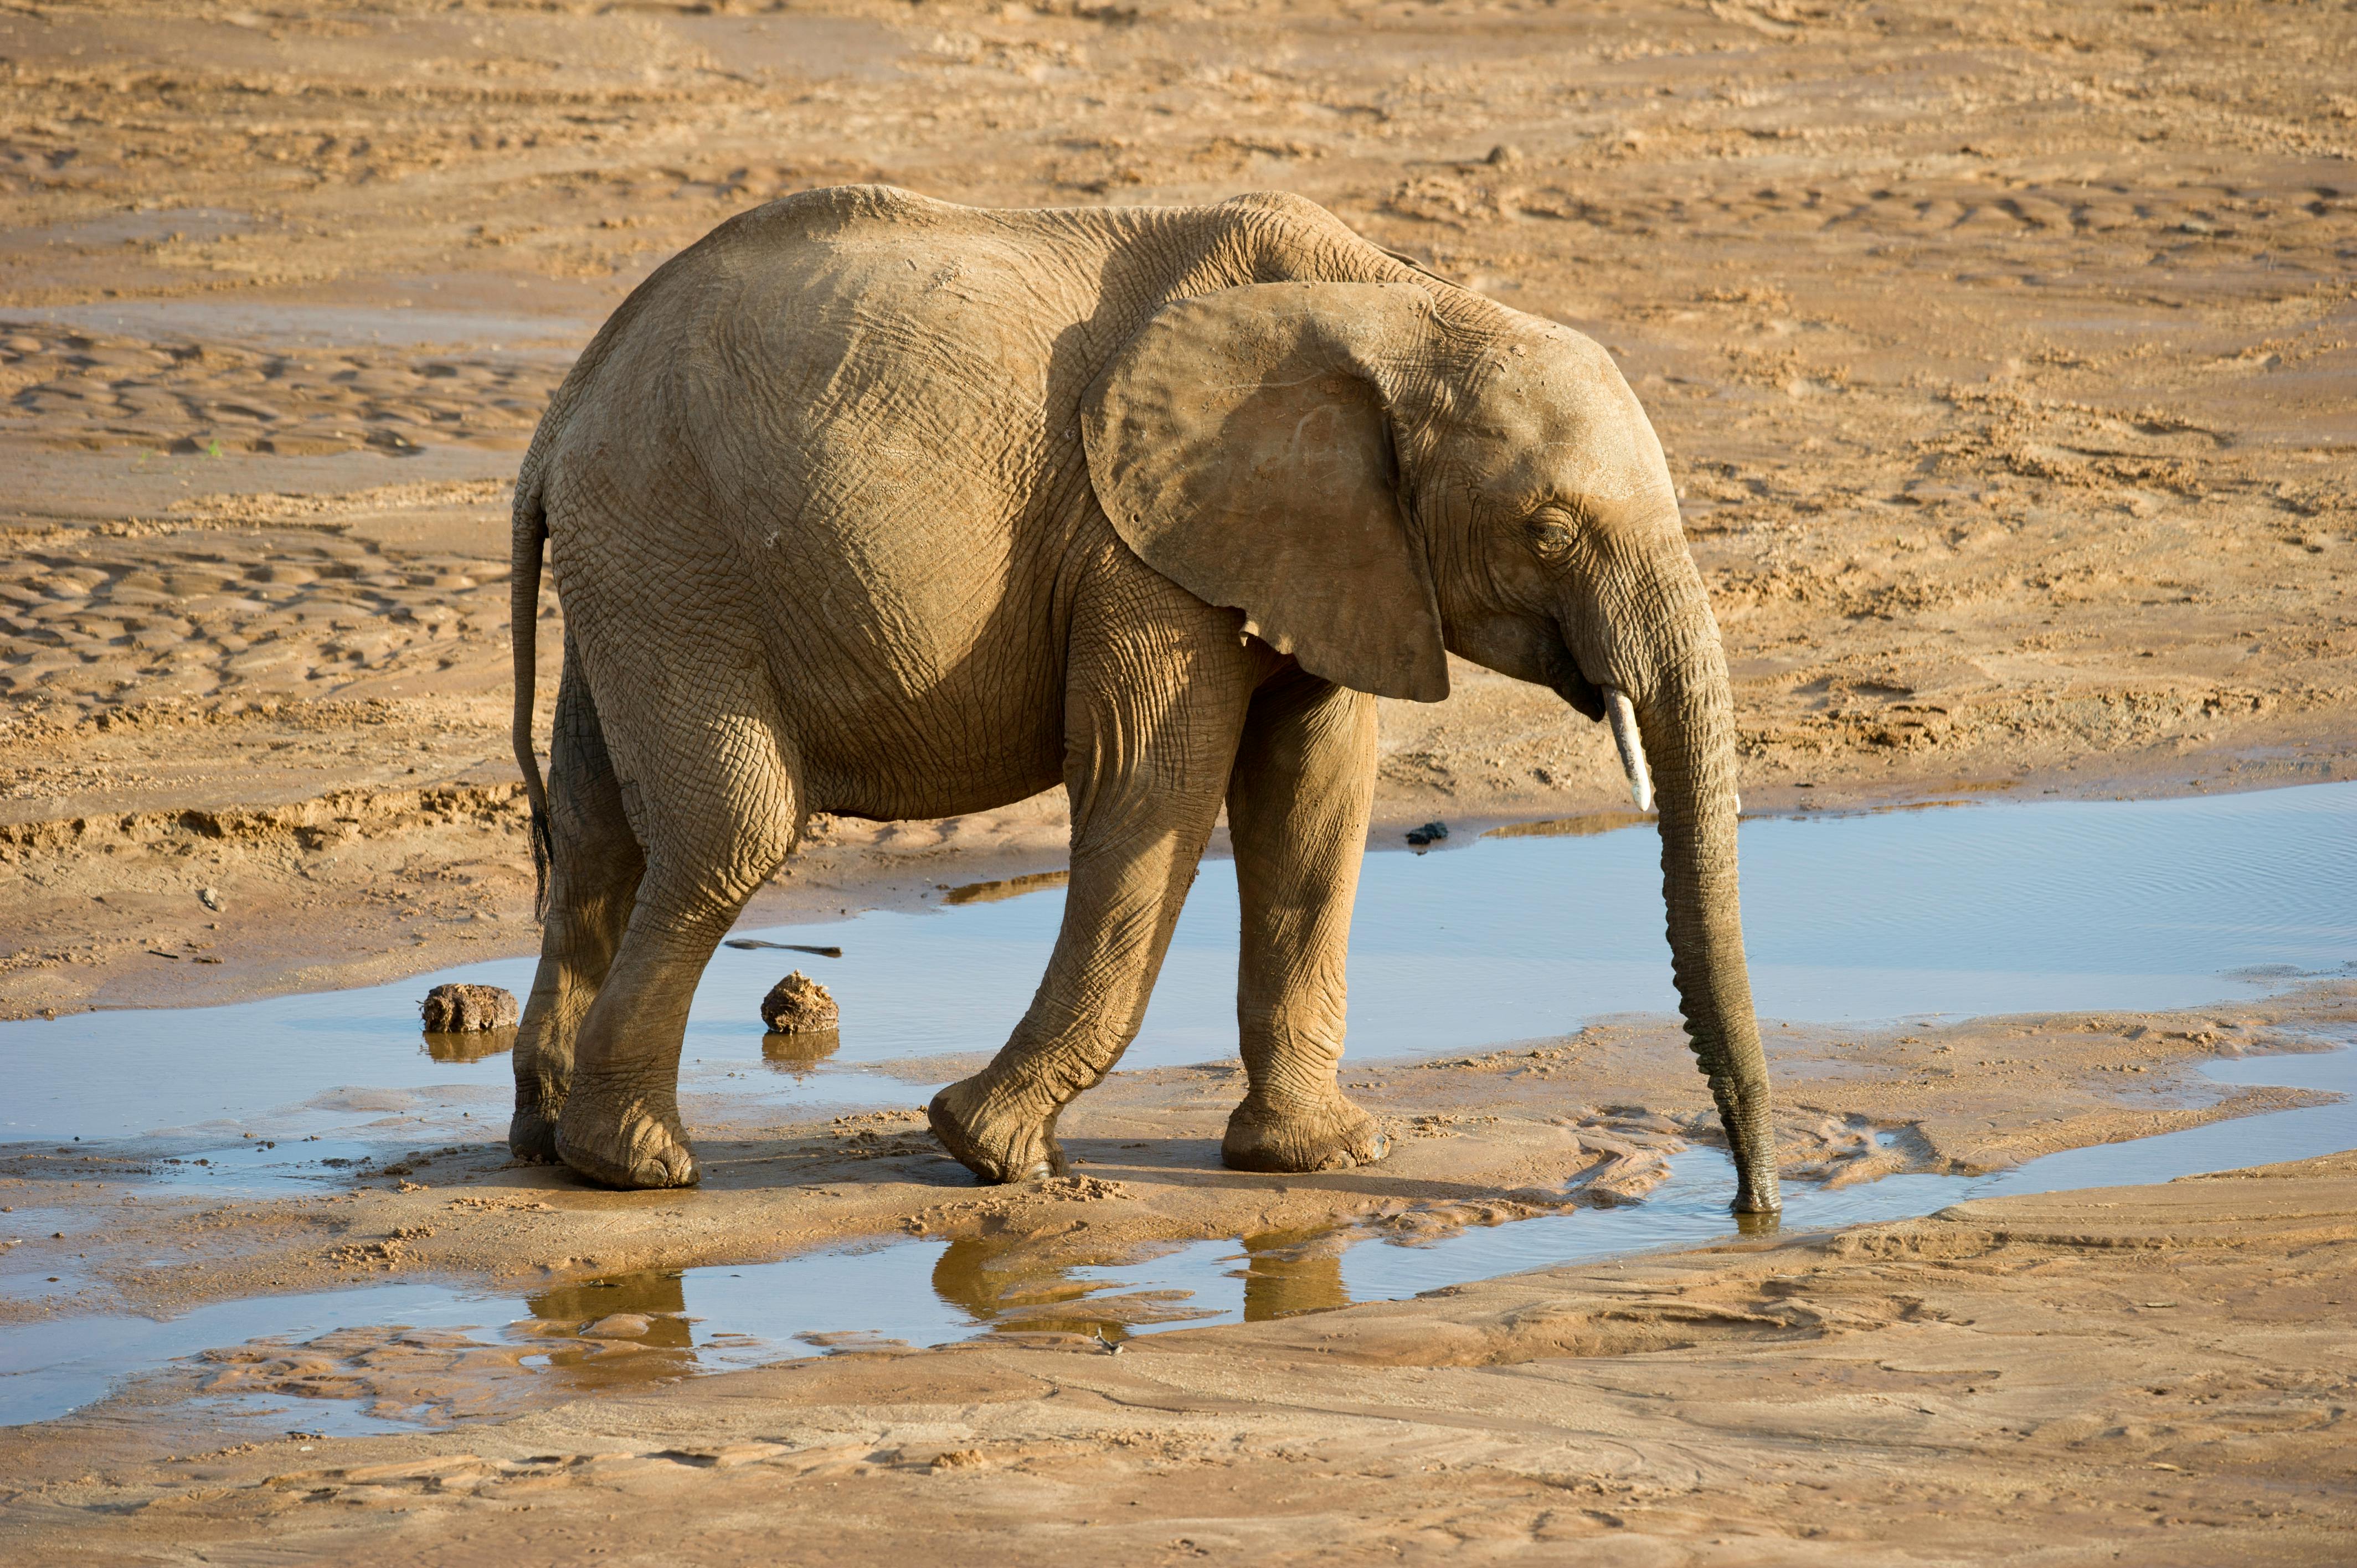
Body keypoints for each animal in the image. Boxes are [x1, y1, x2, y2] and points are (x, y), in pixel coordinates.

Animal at [507, 184, 1772, 1207]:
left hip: (634, 570)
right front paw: (991, 1155)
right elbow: (1153, 785)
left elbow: (1314, 793)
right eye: (1547, 531)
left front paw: (1312, 1162)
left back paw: (543, 1142)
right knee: (731, 832)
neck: (1397, 307)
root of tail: (561, 416)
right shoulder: (1140, 547)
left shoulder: (1322, 545)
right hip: (675, 553)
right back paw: (636, 1168)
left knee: (597, 834)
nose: (1749, 1204)